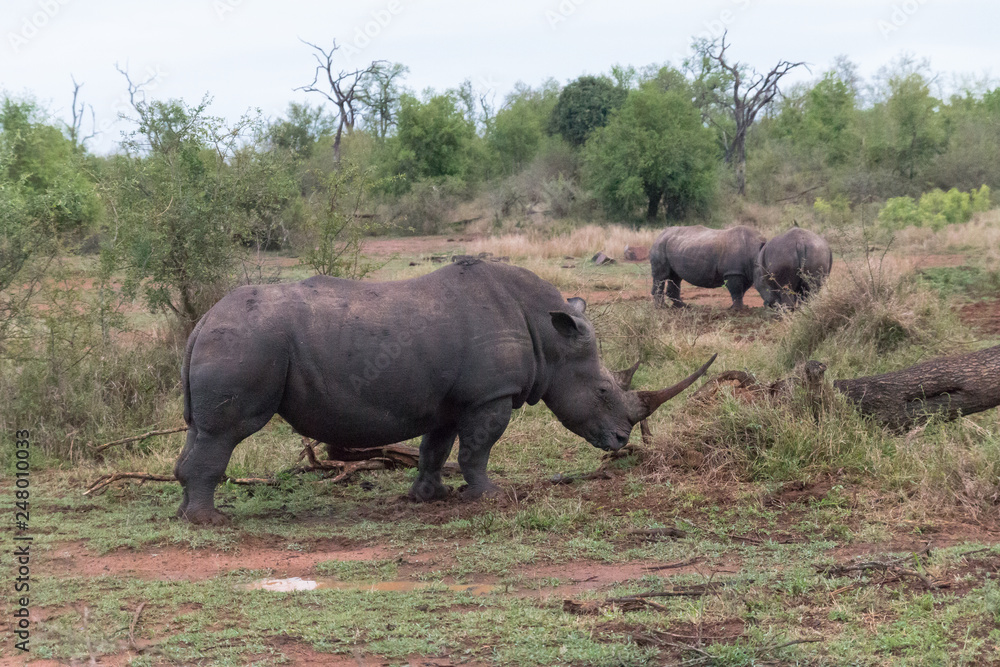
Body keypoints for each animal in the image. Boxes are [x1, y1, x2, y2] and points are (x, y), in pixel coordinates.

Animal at [175, 260, 715, 524]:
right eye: (604, 389)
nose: (622, 441)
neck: (549, 337)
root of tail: (201, 323)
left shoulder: (452, 400)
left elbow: (436, 447)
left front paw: (429, 498)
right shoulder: (490, 395)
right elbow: (477, 448)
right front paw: (490, 497)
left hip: (229, 340)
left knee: (200, 430)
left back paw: (186, 514)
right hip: (246, 342)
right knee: (227, 432)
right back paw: (212, 522)